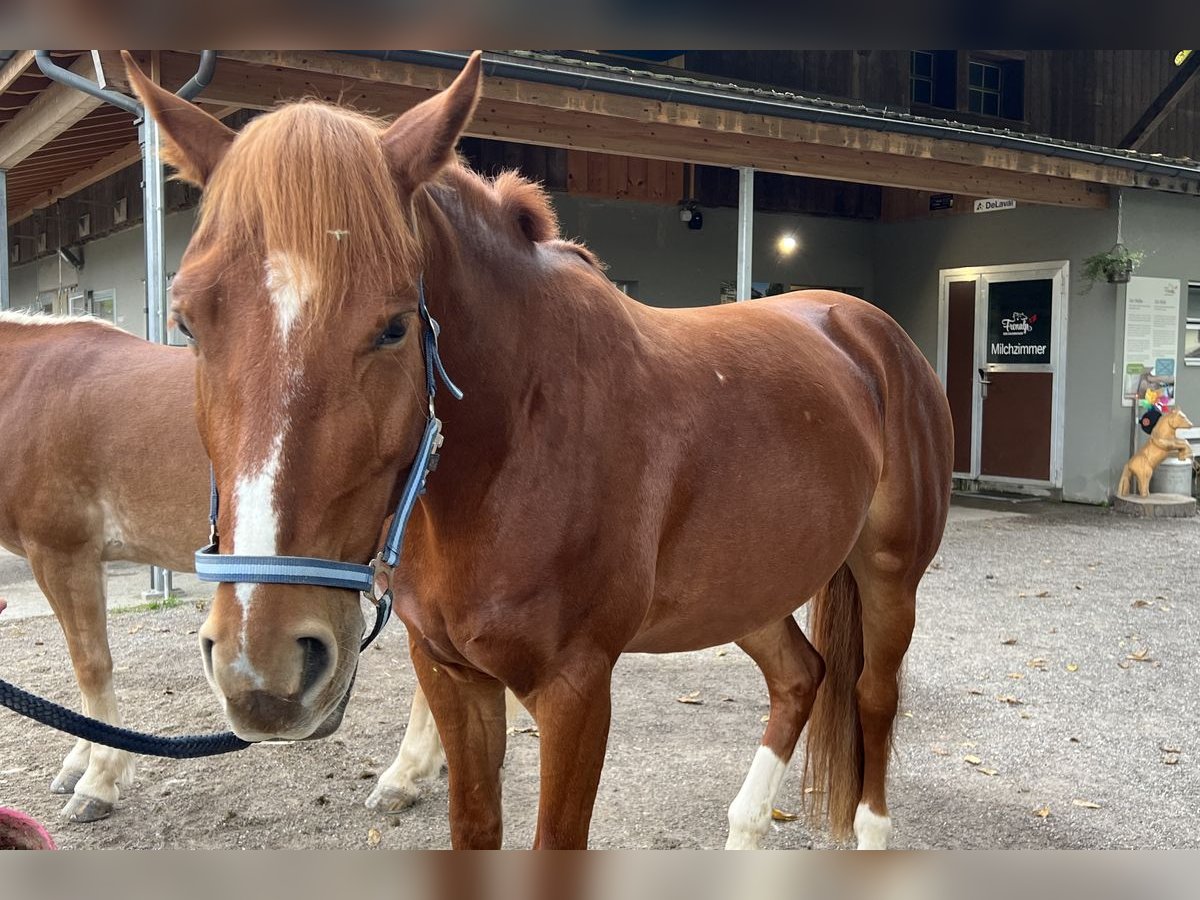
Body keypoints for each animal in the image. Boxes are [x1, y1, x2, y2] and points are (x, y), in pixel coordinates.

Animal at [0, 314, 472, 820]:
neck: (27, 386)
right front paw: (81, 761)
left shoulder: (61, 553)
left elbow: (90, 665)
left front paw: (99, 779)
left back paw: (404, 774)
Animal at [129, 51, 955, 854]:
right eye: (188, 320)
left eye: (395, 326)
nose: (261, 664)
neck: (513, 448)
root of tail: (863, 328)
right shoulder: (451, 674)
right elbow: (474, 827)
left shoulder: (576, 691)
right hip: (747, 584)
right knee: (799, 677)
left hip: (888, 579)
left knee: (873, 698)